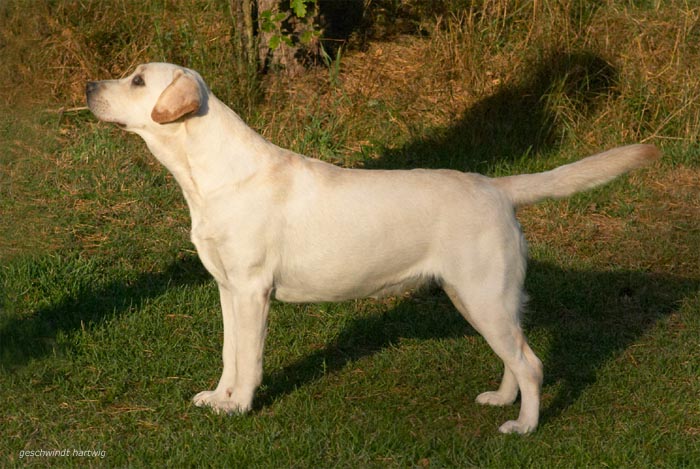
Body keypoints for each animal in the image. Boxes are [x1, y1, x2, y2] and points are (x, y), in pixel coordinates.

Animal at [86, 62, 660, 433]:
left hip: (483, 295)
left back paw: (523, 426)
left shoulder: (252, 291)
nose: (89, 85)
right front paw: (218, 399)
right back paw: (502, 400)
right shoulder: (228, 288)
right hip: (481, 299)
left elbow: (249, 360)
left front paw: (242, 407)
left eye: (138, 80)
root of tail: (497, 186)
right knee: (514, 358)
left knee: (532, 363)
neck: (209, 173)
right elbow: (230, 354)